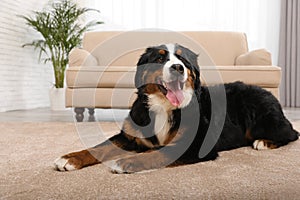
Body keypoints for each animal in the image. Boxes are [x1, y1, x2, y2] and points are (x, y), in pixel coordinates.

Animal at [55, 43, 298, 173]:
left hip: (263, 119)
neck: (163, 107)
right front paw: (69, 158)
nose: (178, 68)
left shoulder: (196, 145)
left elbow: (159, 152)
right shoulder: (129, 136)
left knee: (291, 133)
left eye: (183, 60)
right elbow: (99, 147)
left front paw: (127, 161)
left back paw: (263, 142)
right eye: (159, 58)